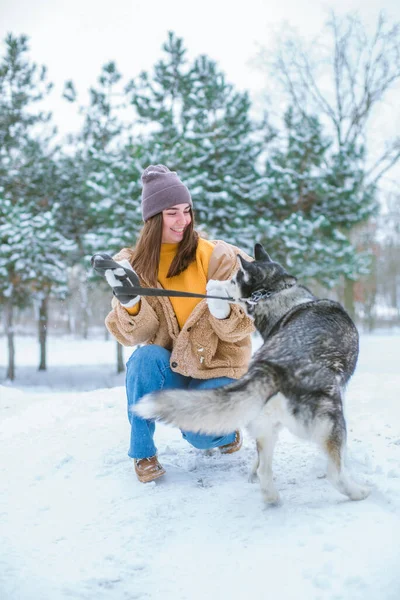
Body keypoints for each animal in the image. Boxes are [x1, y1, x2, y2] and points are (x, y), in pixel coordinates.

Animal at [136, 241, 370, 504]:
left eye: (232, 279)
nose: (212, 284)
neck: (280, 296)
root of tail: (272, 367)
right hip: (331, 421)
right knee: (334, 473)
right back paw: (358, 492)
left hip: (265, 424)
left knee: (264, 470)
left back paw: (271, 497)